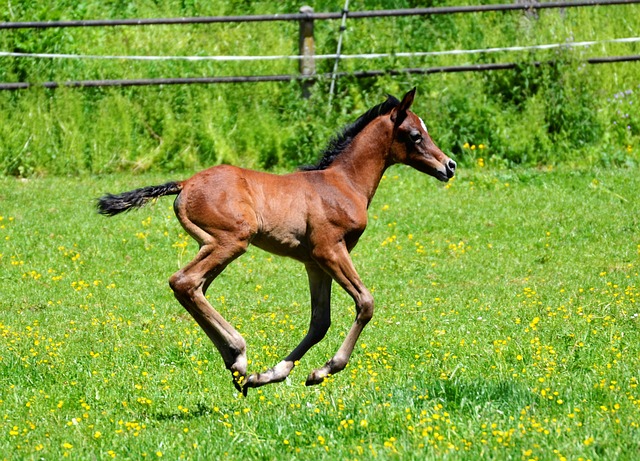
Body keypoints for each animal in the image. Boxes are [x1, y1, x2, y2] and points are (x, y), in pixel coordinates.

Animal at [97, 88, 456, 394]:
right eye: (415, 135)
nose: (449, 165)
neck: (343, 183)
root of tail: (185, 183)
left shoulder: (315, 263)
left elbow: (320, 321)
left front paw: (271, 374)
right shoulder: (330, 250)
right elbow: (365, 303)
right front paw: (324, 370)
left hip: (213, 245)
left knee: (193, 288)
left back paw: (237, 367)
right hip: (232, 242)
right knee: (184, 281)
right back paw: (239, 354)